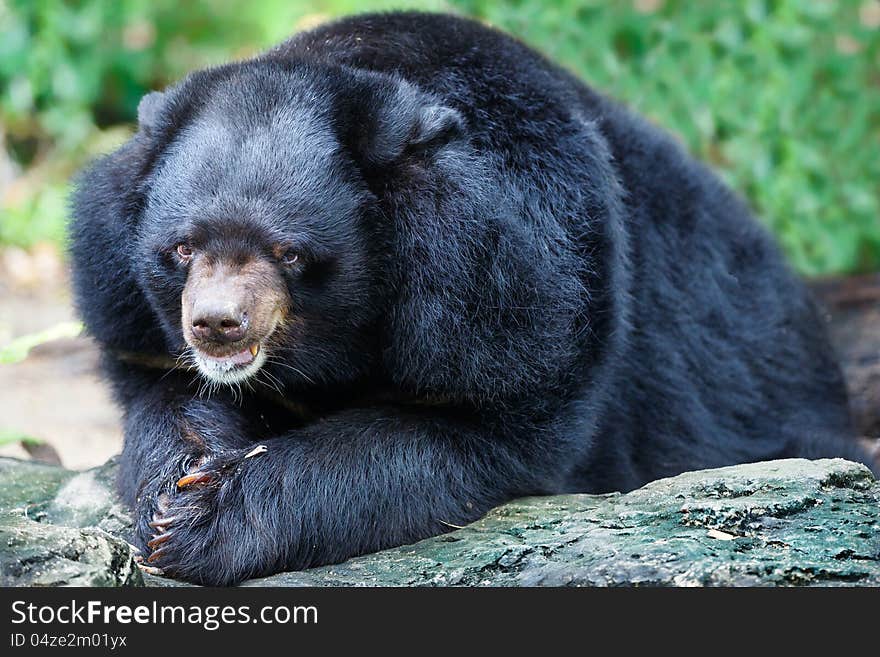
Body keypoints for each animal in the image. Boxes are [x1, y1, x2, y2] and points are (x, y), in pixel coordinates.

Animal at [70, 11, 872, 584]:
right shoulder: (125, 300)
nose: (217, 327)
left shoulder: (524, 285)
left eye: (289, 254)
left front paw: (206, 520)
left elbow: (460, 432)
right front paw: (178, 483)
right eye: (182, 248)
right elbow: (161, 390)